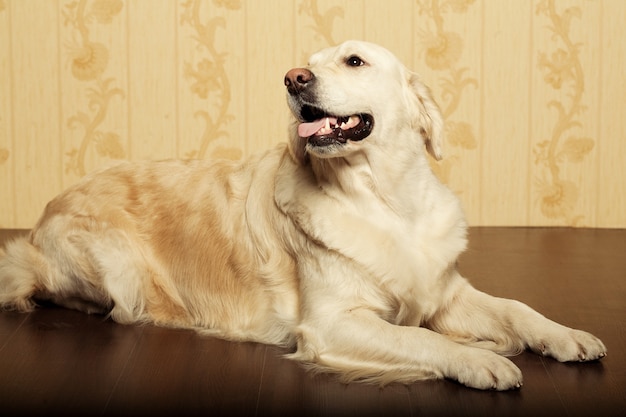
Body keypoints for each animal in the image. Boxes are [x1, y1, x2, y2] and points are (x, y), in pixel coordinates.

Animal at [0, 40, 604, 388]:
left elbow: (517, 309)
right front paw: (478, 358)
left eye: (354, 61)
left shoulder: (447, 292)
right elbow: (424, 339)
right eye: (304, 67)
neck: (386, 201)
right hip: (118, 271)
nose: (293, 79)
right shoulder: (333, 322)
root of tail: (40, 220)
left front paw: (565, 336)